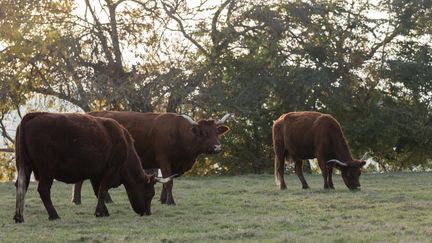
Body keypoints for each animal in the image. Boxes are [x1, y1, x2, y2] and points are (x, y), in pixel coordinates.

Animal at [13, 112, 174, 222]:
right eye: (149, 194)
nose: (147, 212)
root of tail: (34, 115)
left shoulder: (96, 174)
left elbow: (98, 192)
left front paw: (104, 211)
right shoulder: (111, 169)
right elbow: (102, 191)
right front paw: (99, 212)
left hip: (24, 167)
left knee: (21, 186)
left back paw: (18, 217)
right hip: (46, 171)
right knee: (43, 190)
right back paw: (54, 215)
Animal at [72, 111, 231, 205]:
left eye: (216, 132)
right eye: (203, 133)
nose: (217, 147)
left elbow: (167, 180)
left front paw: (163, 200)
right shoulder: (164, 159)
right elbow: (169, 182)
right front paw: (170, 202)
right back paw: (79, 200)